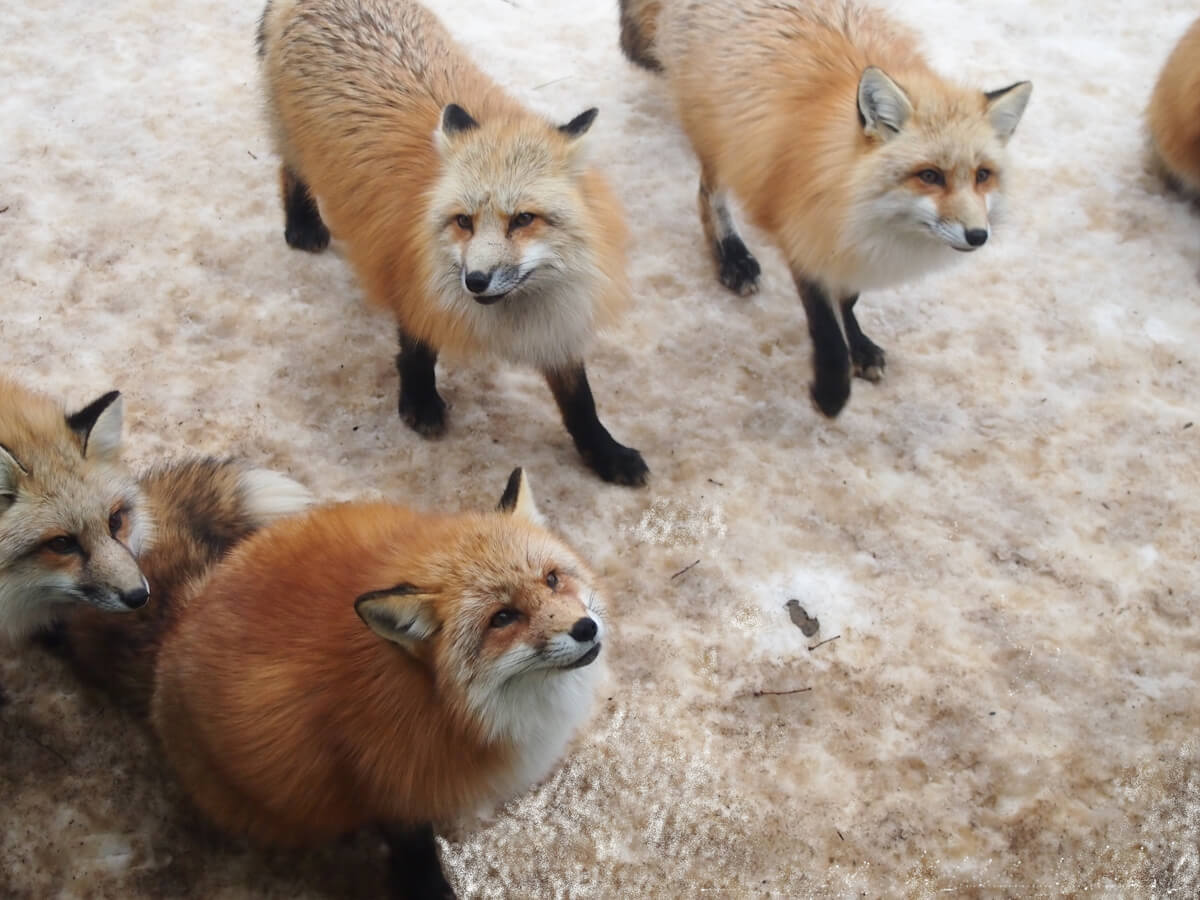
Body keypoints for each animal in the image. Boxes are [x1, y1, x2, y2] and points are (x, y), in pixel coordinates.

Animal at [69, 466, 605, 898]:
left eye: (552, 579)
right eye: (503, 618)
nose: (585, 629)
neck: (448, 704)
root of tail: (183, 612)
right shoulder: (387, 788)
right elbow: (417, 860)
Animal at [257, 0, 649, 487]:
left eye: (523, 219)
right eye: (464, 221)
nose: (475, 280)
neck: (513, 314)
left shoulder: (557, 319)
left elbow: (580, 401)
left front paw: (605, 453)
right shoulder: (410, 278)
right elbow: (417, 350)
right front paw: (420, 403)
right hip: (294, 139)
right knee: (288, 168)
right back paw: (302, 222)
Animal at [618, 0, 1032, 417]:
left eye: (983, 175)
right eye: (930, 175)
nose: (978, 235)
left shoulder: (843, 242)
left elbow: (848, 299)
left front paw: (860, 348)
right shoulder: (803, 230)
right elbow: (824, 324)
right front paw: (832, 390)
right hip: (719, 137)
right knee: (708, 197)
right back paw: (732, 256)